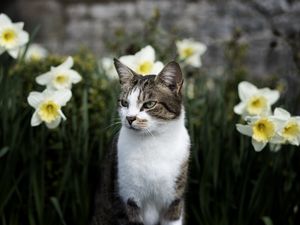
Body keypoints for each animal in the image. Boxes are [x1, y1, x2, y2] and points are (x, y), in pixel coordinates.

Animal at [90, 58, 191, 225]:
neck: (152, 141)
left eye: (149, 104)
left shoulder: (174, 201)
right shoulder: (126, 199)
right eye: (124, 103)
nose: (130, 118)